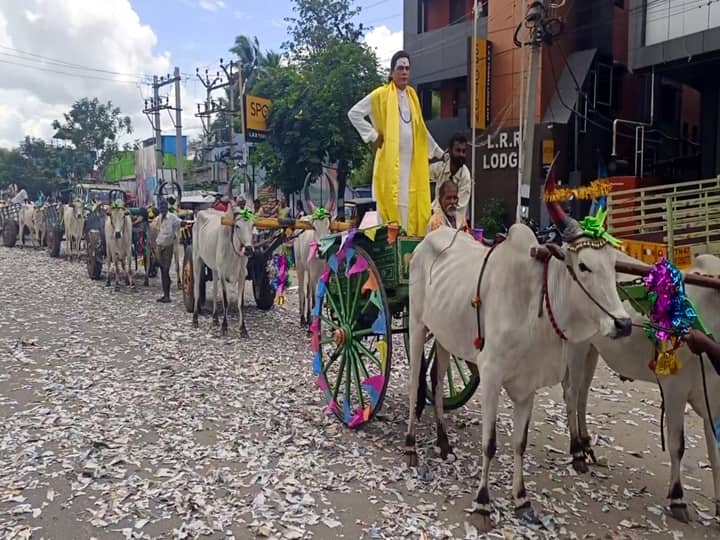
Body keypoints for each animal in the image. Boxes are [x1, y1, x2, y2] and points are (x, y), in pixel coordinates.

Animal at [193, 205, 255, 336]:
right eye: (237, 226)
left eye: (252, 225)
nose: (248, 249)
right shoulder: (222, 274)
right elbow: (226, 301)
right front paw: (224, 326)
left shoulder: (242, 275)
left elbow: (240, 303)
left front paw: (243, 329)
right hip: (196, 258)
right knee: (196, 290)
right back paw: (195, 319)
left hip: (214, 269)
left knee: (215, 291)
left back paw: (215, 319)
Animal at [294, 174, 336, 324]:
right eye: (314, 227)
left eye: (329, 226)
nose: (321, 251)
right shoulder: (313, 275)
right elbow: (313, 299)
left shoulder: (325, 277)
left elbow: (319, 299)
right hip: (300, 265)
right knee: (302, 289)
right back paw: (302, 318)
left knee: (307, 291)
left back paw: (307, 317)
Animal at [404, 184, 632, 528]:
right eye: (583, 266)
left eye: (614, 264)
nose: (623, 323)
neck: (536, 306)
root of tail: (425, 243)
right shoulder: (491, 377)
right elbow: (490, 444)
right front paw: (483, 503)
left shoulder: (528, 387)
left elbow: (518, 443)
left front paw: (521, 499)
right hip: (418, 327)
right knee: (414, 380)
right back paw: (410, 447)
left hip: (444, 335)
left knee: (437, 378)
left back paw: (444, 443)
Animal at [564, 255, 720, 520]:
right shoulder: (675, 390)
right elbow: (678, 445)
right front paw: (677, 499)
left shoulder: (714, 404)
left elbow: (715, 455)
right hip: (577, 346)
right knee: (572, 395)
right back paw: (577, 452)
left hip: (592, 350)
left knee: (583, 394)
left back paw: (586, 445)